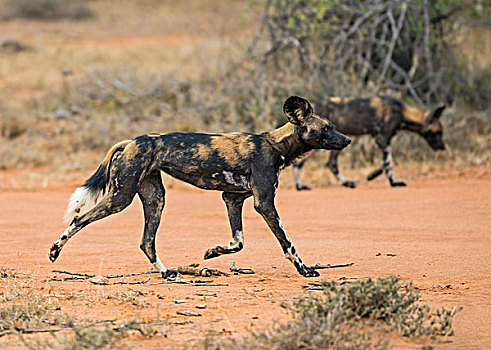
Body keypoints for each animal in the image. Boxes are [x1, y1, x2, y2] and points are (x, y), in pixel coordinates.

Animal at [49, 96, 350, 278]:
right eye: (326, 129)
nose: (347, 139)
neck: (276, 145)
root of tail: (132, 140)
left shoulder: (233, 198)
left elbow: (238, 242)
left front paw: (213, 252)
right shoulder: (264, 204)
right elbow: (287, 243)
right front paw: (305, 270)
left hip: (155, 199)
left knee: (147, 242)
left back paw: (166, 272)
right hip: (119, 198)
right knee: (78, 219)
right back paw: (54, 251)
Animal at [294, 95, 448, 190]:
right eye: (438, 132)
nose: (442, 147)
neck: (403, 112)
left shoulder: (378, 139)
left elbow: (386, 164)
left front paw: (372, 175)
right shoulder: (384, 139)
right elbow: (389, 163)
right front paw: (394, 182)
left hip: (337, 142)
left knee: (331, 164)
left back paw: (347, 183)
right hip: (319, 143)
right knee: (299, 163)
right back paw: (300, 187)